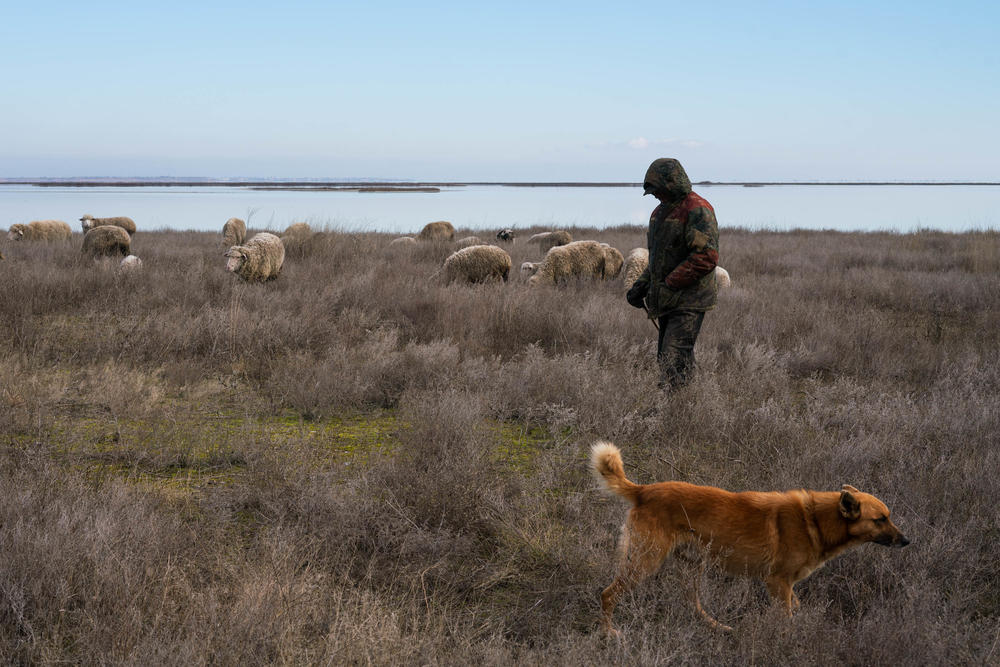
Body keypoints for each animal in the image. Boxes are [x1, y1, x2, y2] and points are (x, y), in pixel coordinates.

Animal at [588, 440, 912, 636]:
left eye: (888, 516)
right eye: (880, 519)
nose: (906, 541)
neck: (816, 521)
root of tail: (643, 491)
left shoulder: (786, 586)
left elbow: (795, 608)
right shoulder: (777, 583)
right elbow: (787, 617)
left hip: (692, 566)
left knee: (691, 602)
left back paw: (718, 627)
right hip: (645, 562)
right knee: (609, 594)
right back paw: (607, 634)